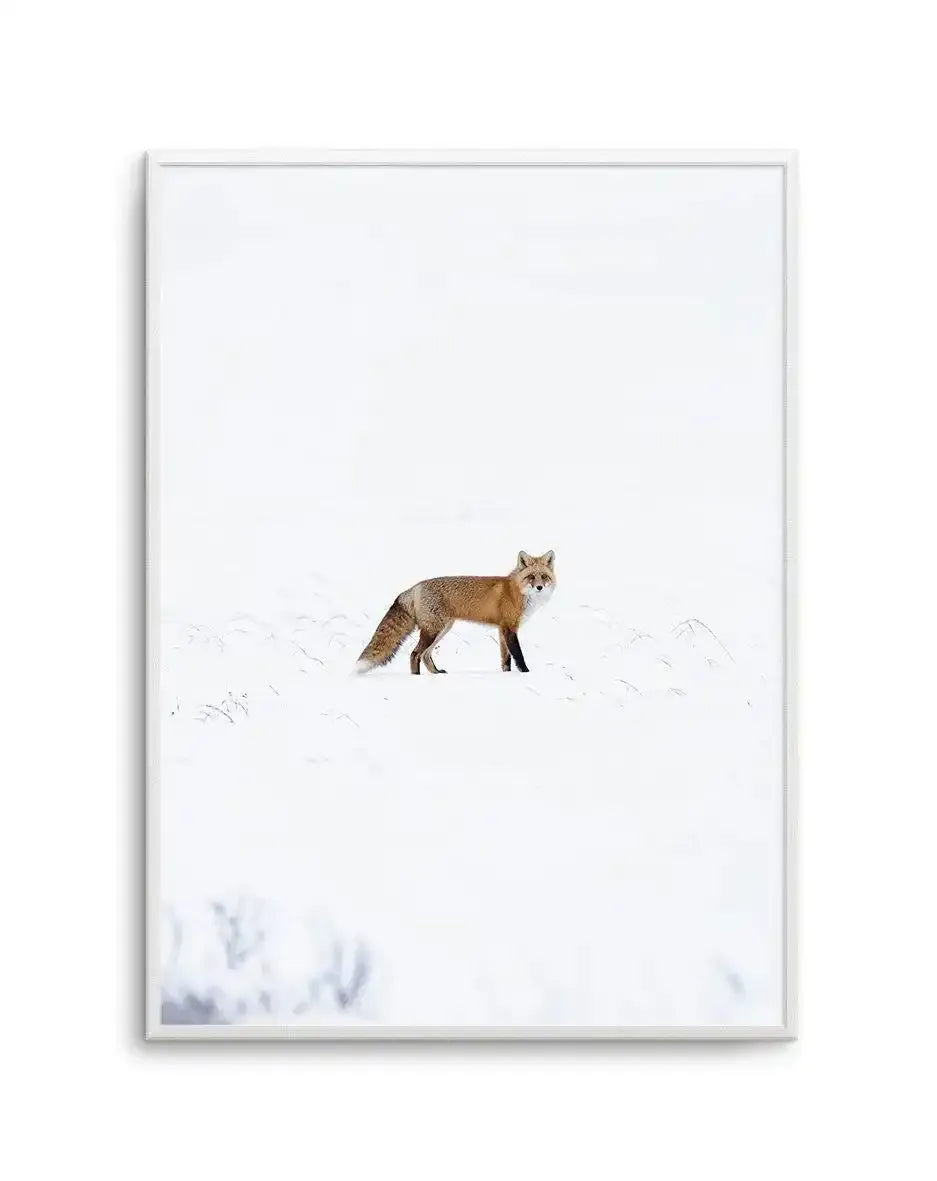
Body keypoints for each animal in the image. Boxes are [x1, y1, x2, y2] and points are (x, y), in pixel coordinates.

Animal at [355, 550, 556, 675]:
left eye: (544, 577)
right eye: (531, 577)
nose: (539, 587)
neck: (518, 592)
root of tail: (416, 586)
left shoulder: (502, 629)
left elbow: (505, 658)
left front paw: (507, 675)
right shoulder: (509, 627)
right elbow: (518, 655)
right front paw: (526, 673)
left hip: (442, 629)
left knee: (425, 655)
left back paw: (436, 673)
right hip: (433, 630)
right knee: (415, 654)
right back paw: (417, 678)